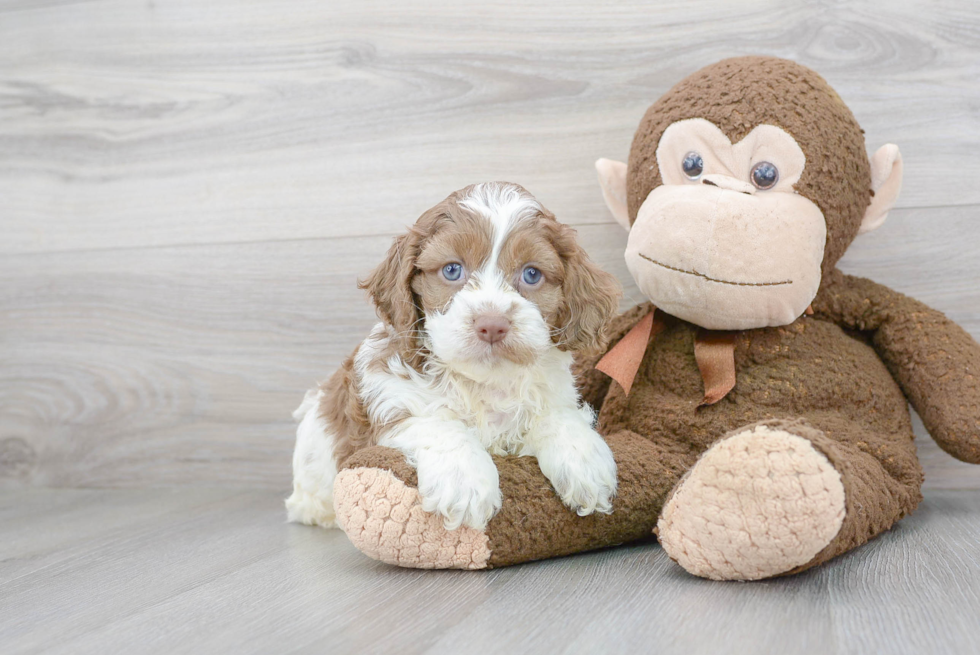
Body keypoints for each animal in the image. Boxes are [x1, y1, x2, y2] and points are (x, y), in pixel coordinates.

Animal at [286, 182, 620, 532]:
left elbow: (558, 416)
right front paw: (465, 484)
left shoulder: (554, 395)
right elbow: (437, 424)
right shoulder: (388, 400)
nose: (492, 324)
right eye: (451, 270)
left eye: (531, 274)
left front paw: (584, 461)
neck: (484, 381)